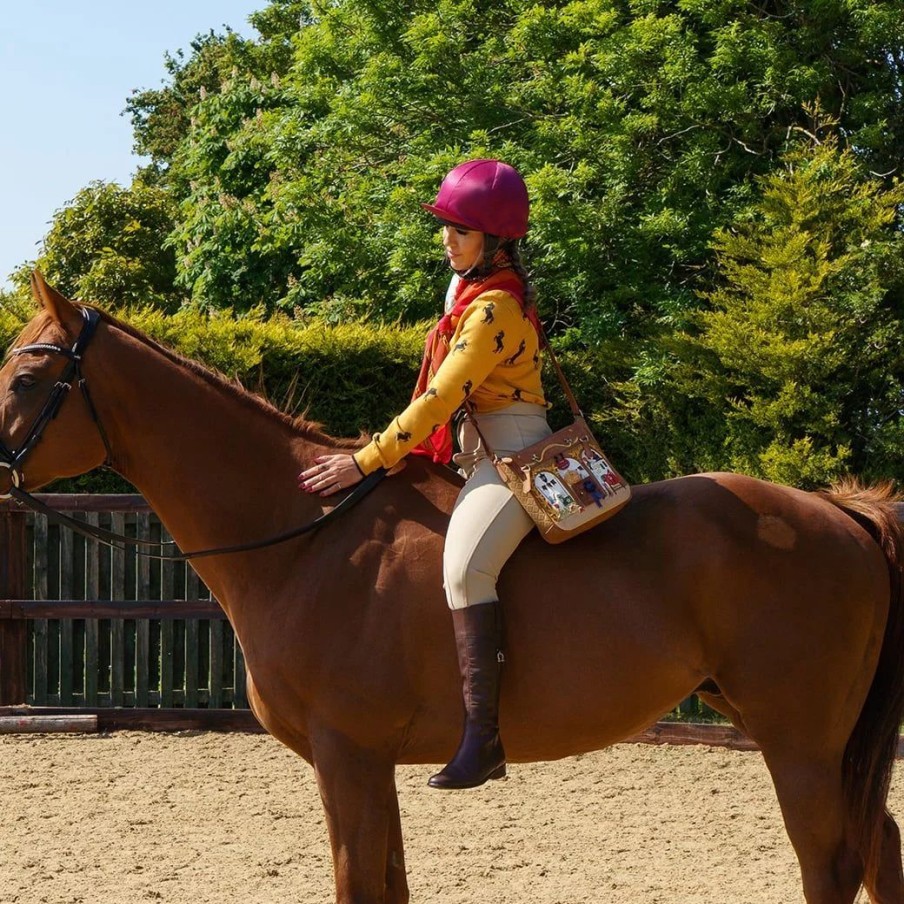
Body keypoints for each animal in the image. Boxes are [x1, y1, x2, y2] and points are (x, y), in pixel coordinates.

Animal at [1, 272, 904, 900]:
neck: (306, 534)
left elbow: (358, 885)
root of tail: (838, 511)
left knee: (832, 865)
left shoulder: (348, 756)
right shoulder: (368, 766)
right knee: (881, 852)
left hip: (799, 741)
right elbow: (389, 885)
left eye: (23, 380)